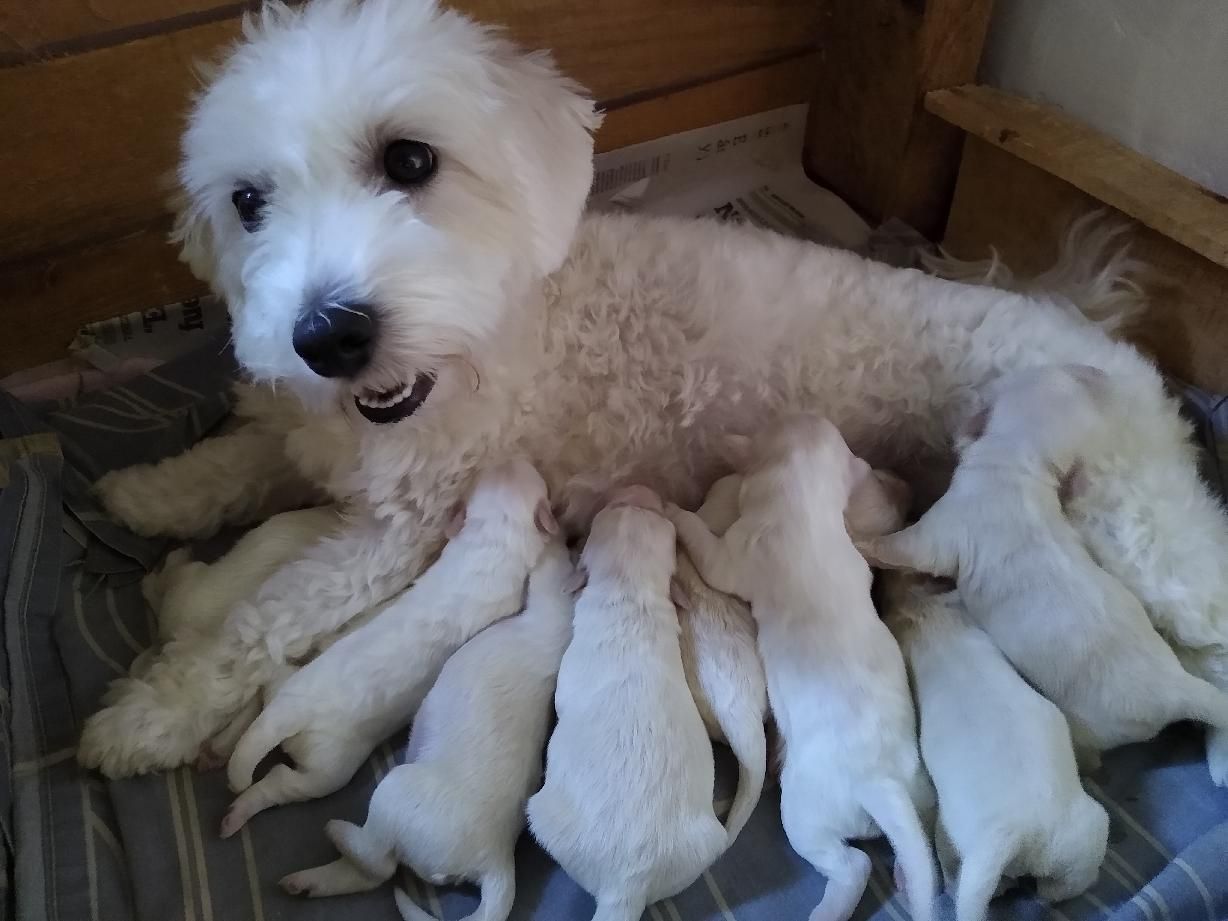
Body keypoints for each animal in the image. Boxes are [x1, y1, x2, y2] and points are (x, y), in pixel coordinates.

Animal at [218, 458, 556, 835]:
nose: (511, 458)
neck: (489, 543)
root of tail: (293, 709)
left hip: (288, 691)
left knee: (268, 693)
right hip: (329, 763)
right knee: (287, 780)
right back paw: (237, 811)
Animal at [278, 540, 575, 921]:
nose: (564, 538)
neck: (549, 641)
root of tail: (497, 863)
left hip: (395, 790)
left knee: (378, 864)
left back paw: (336, 831)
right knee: (368, 874)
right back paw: (302, 882)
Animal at [527, 487, 727, 921]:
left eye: (608, 510)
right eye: (626, 506)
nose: (637, 489)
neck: (629, 589)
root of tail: (627, 882)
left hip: (543, 817)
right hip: (705, 843)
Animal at [861, 365, 1228, 781]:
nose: (1093, 373)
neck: (1014, 466)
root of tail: (1174, 688)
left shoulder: (946, 526)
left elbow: (906, 546)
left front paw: (863, 542)